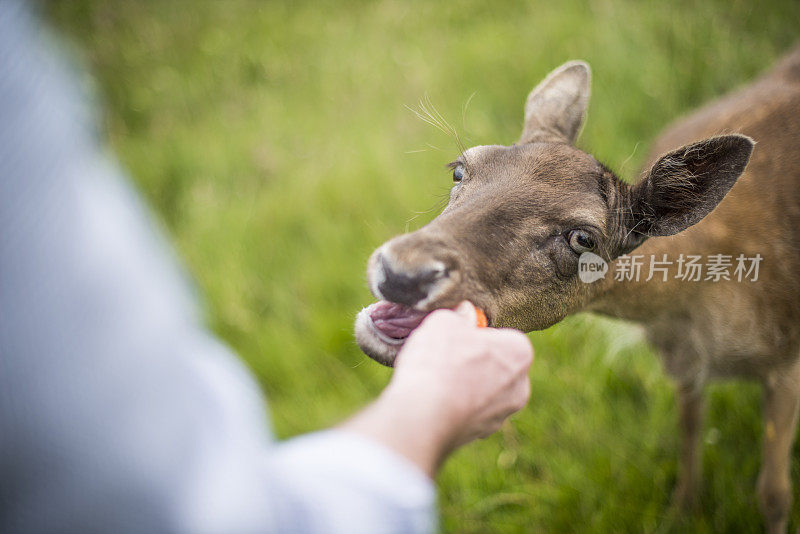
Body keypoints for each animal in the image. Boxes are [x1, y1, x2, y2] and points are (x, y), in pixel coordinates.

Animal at [354, 48, 800, 532]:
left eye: (583, 238)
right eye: (459, 169)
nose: (402, 271)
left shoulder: (786, 361)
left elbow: (774, 494)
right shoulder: (682, 365)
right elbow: (689, 430)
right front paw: (681, 511)